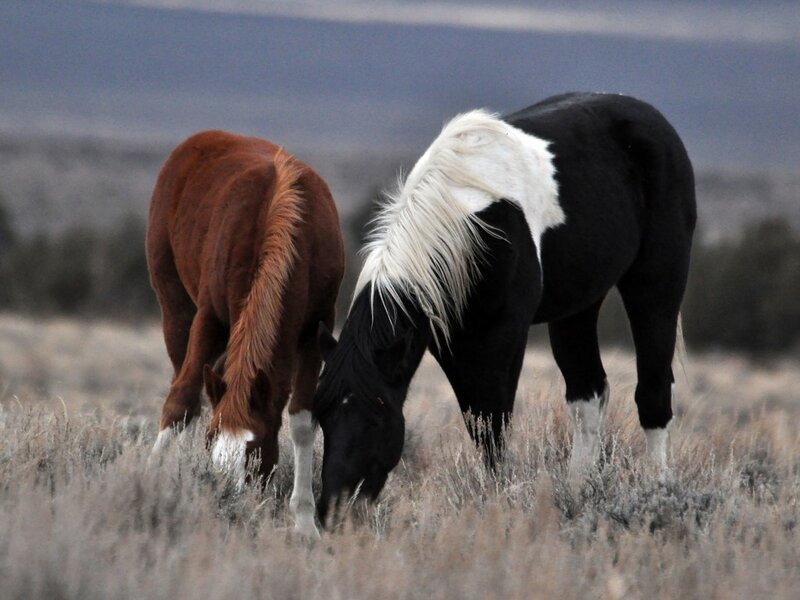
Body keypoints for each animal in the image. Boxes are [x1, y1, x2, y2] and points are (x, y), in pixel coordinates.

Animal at [147, 130, 344, 539]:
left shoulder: (315, 327)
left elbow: (302, 420)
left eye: (255, 451)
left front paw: (305, 521)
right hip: (175, 310)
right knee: (184, 386)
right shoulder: (209, 318)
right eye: (212, 442)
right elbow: (180, 401)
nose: (227, 502)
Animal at [312, 92, 696, 522]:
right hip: (577, 307)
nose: (332, 512)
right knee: (589, 395)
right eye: (321, 415)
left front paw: (496, 501)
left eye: (378, 414)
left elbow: (492, 423)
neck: (469, 222)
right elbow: (478, 423)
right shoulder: (454, 343)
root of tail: (650, 116)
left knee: (653, 394)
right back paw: (577, 493)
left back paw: (658, 494)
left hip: (656, 285)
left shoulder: (503, 337)